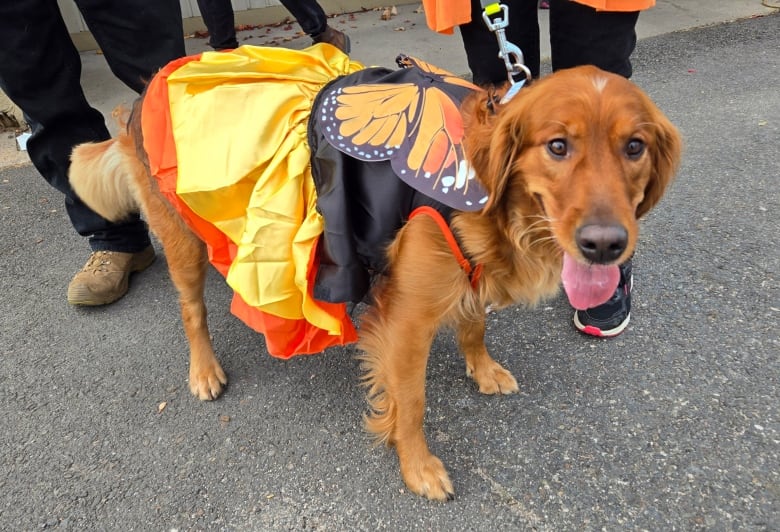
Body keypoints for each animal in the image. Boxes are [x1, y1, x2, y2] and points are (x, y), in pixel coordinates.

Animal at [68, 59, 684, 502]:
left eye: (634, 147)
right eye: (558, 146)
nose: (605, 245)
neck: (487, 193)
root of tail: (148, 87)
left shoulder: (466, 275)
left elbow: (475, 325)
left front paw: (483, 369)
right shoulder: (407, 321)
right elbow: (410, 403)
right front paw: (418, 467)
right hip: (183, 239)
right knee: (191, 309)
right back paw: (204, 370)